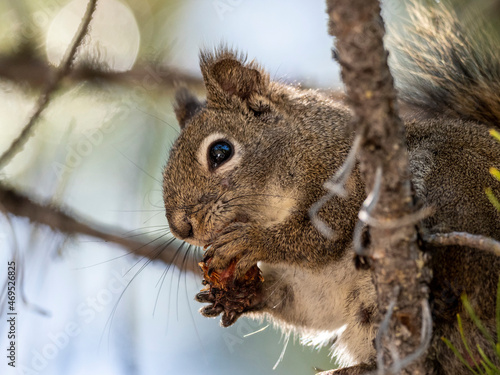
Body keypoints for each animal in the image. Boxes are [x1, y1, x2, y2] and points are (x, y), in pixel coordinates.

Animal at [162, 1, 498, 374]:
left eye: (220, 152)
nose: (181, 228)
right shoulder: (313, 287)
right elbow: (304, 305)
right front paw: (238, 297)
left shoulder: (352, 182)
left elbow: (321, 234)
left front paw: (255, 240)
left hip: (459, 185)